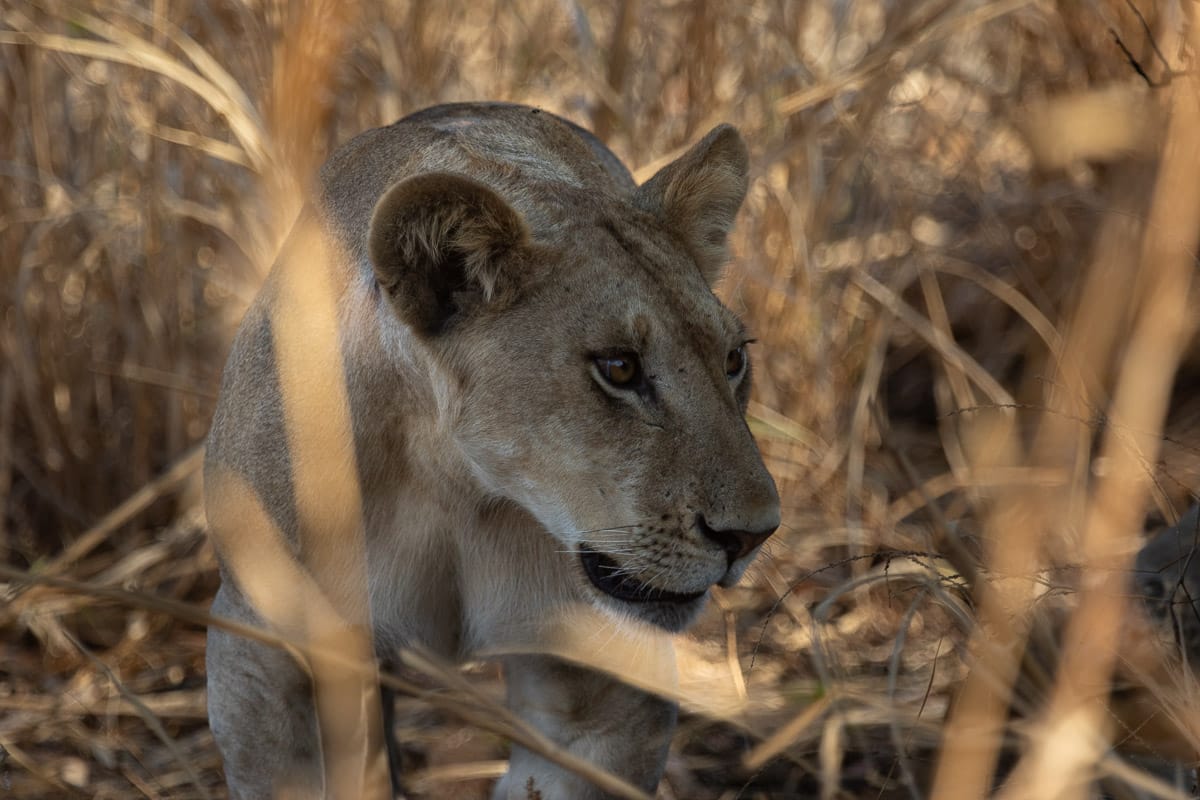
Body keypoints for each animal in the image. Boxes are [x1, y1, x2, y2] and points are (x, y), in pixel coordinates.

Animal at [204, 102, 780, 799]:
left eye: (734, 359)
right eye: (619, 367)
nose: (752, 536)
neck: (458, 481)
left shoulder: (602, 676)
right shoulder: (262, 645)